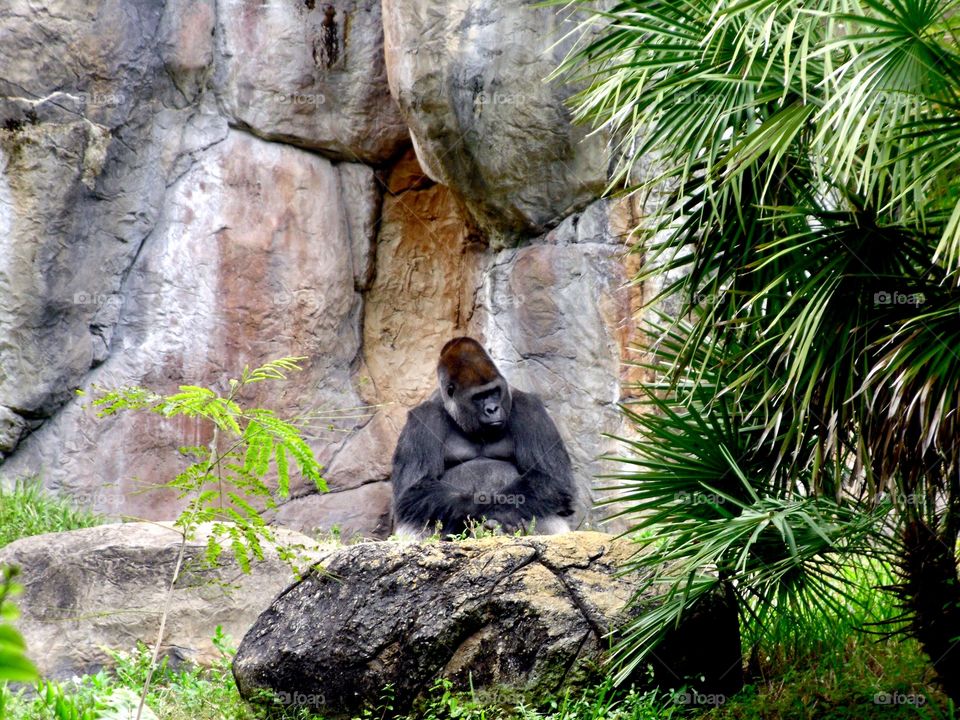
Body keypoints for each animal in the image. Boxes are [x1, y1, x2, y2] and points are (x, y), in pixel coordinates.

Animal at [390, 337, 576, 539]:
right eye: (478, 397)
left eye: (494, 392)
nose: (492, 409)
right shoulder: (422, 418)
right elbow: (415, 488)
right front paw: (483, 510)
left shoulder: (530, 409)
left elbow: (550, 477)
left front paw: (500, 516)